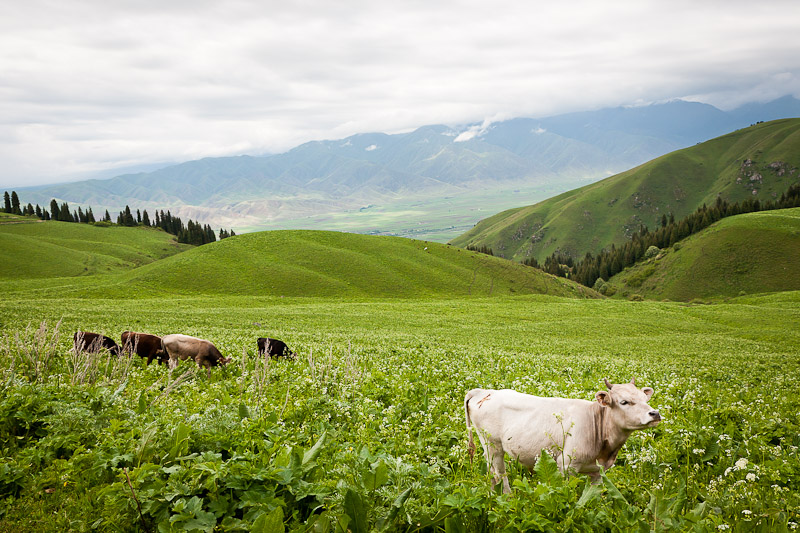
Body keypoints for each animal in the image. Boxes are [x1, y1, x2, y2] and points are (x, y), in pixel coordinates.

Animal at [462, 376, 664, 492]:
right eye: (624, 402)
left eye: (645, 398)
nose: (654, 413)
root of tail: (483, 391)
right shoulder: (566, 465)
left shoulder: (599, 472)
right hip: (493, 445)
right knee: (500, 474)